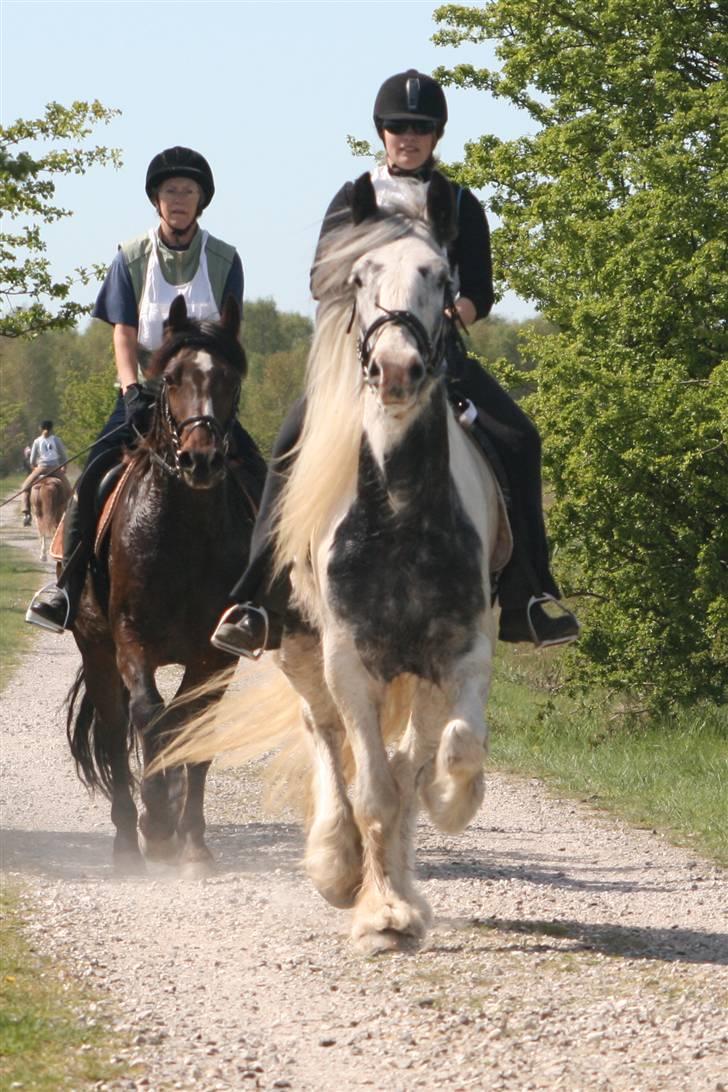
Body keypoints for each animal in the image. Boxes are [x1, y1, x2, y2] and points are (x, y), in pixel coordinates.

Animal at [65, 297, 265, 877]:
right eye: (171, 378)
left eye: (230, 379)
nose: (201, 459)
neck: (183, 530)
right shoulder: (130, 641)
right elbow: (148, 718)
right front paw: (155, 824)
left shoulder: (216, 656)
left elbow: (194, 731)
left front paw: (191, 840)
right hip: (96, 648)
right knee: (116, 733)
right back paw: (129, 843)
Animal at [162, 174, 510, 952]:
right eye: (359, 276)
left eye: (440, 276)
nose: (397, 370)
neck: (402, 510)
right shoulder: (348, 660)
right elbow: (373, 789)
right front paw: (378, 913)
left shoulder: (462, 651)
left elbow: (452, 753)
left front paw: (446, 807)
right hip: (299, 650)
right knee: (323, 737)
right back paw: (339, 866)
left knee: (410, 755)